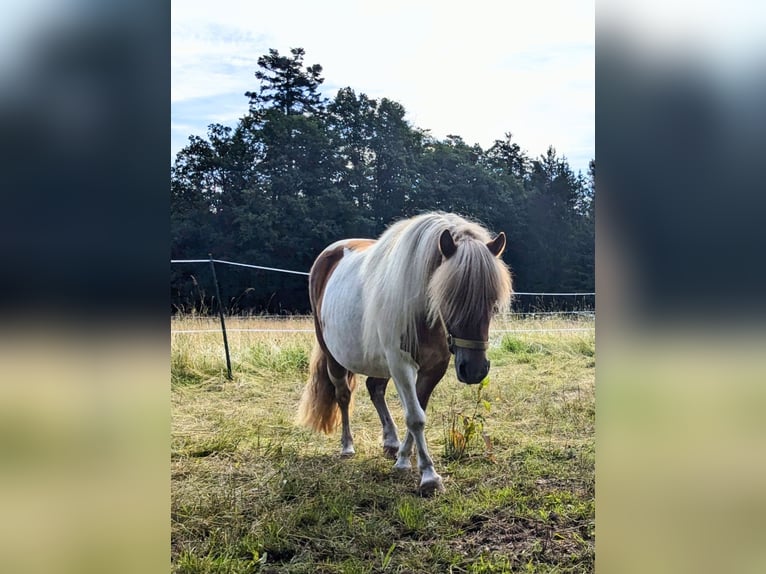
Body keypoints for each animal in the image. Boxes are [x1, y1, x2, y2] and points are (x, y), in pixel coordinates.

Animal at [296, 212, 512, 496]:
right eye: (447, 298)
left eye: (492, 301)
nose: (475, 371)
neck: (424, 315)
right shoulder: (400, 364)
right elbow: (415, 417)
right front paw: (429, 476)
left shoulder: (434, 367)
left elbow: (418, 410)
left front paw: (403, 458)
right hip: (334, 356)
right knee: (343, 395)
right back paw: (347, 446)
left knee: (375, 388)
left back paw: (390, 441)